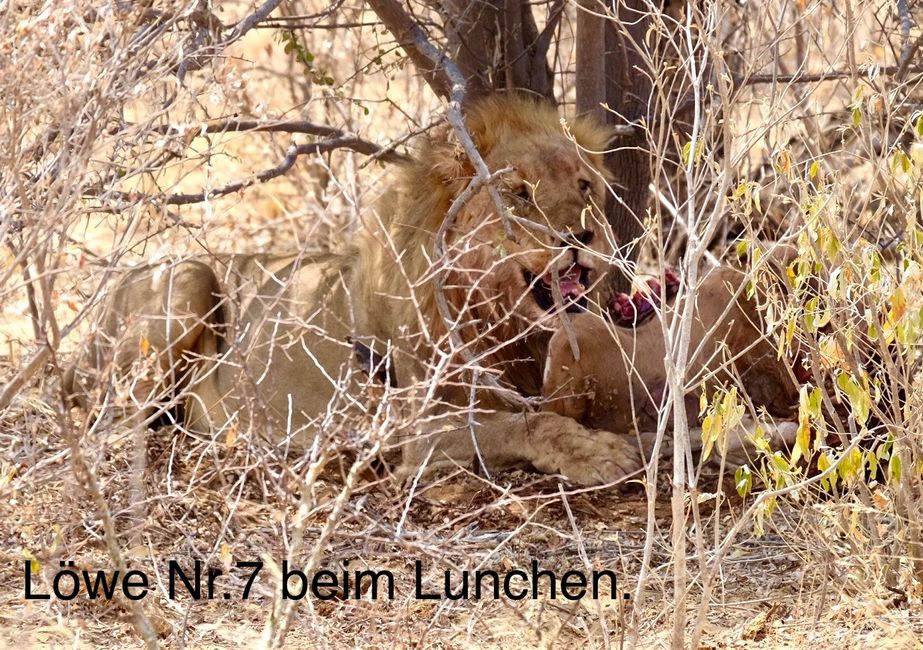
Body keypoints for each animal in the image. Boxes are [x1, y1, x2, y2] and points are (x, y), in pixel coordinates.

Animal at [65, 93, 648, 484]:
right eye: (520, 194)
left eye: (584, 186)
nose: (580, 237)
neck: (504, 324)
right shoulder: (418, 431)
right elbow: (524, 424)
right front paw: (597, 455)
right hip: (187, 280)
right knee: (111, 418)